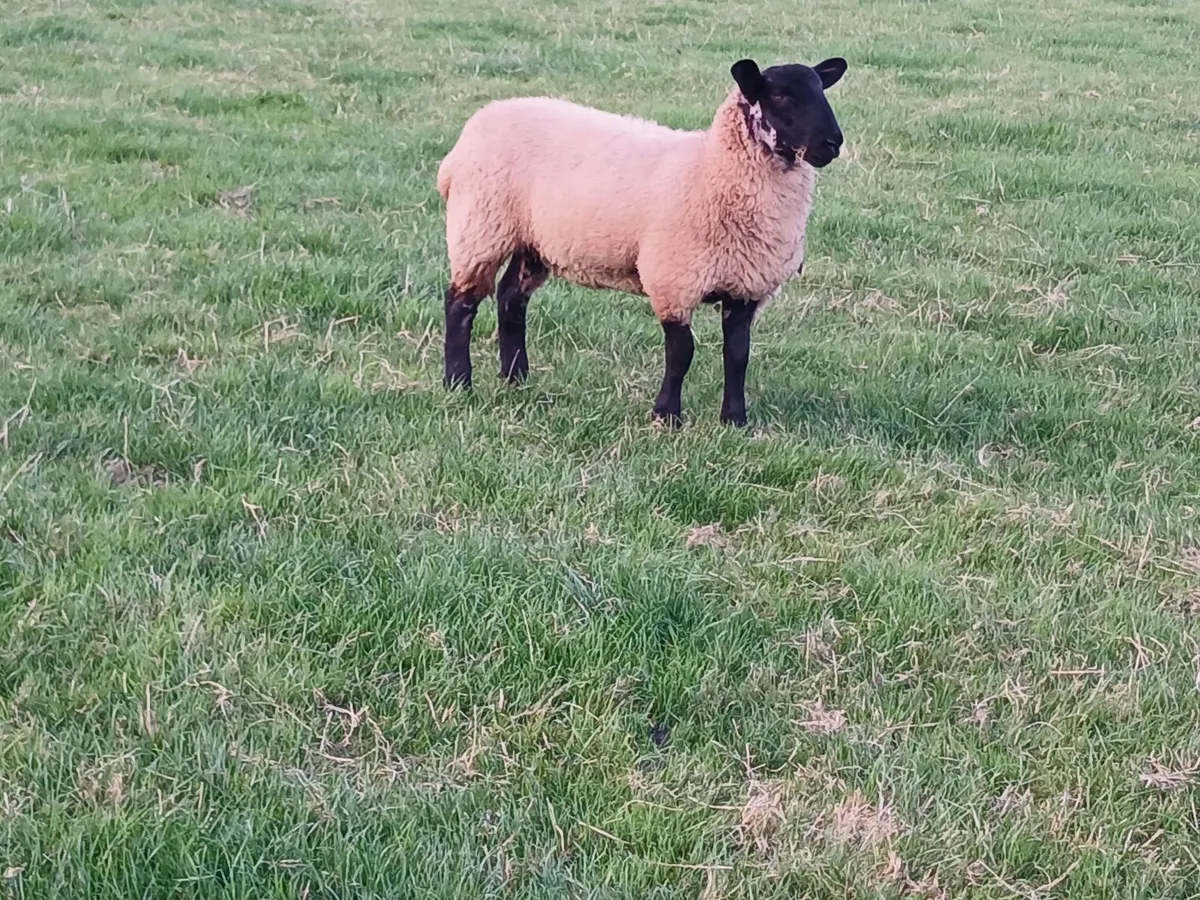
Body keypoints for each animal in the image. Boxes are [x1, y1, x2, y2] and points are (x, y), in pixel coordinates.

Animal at [435, 56, 847, 427]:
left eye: (820, 90)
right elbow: (682, 353)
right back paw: (458, 382)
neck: (709, 169)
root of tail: (478, 123)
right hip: (480, 225)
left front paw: (734, 420)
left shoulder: (746, 285)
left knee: (511, 297)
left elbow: (737, 354)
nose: (833, 142)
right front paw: (666, 416)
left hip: (533, 239)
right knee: (461, 302)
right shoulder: (674, 280)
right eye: (779, 96)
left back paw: (515, 377)